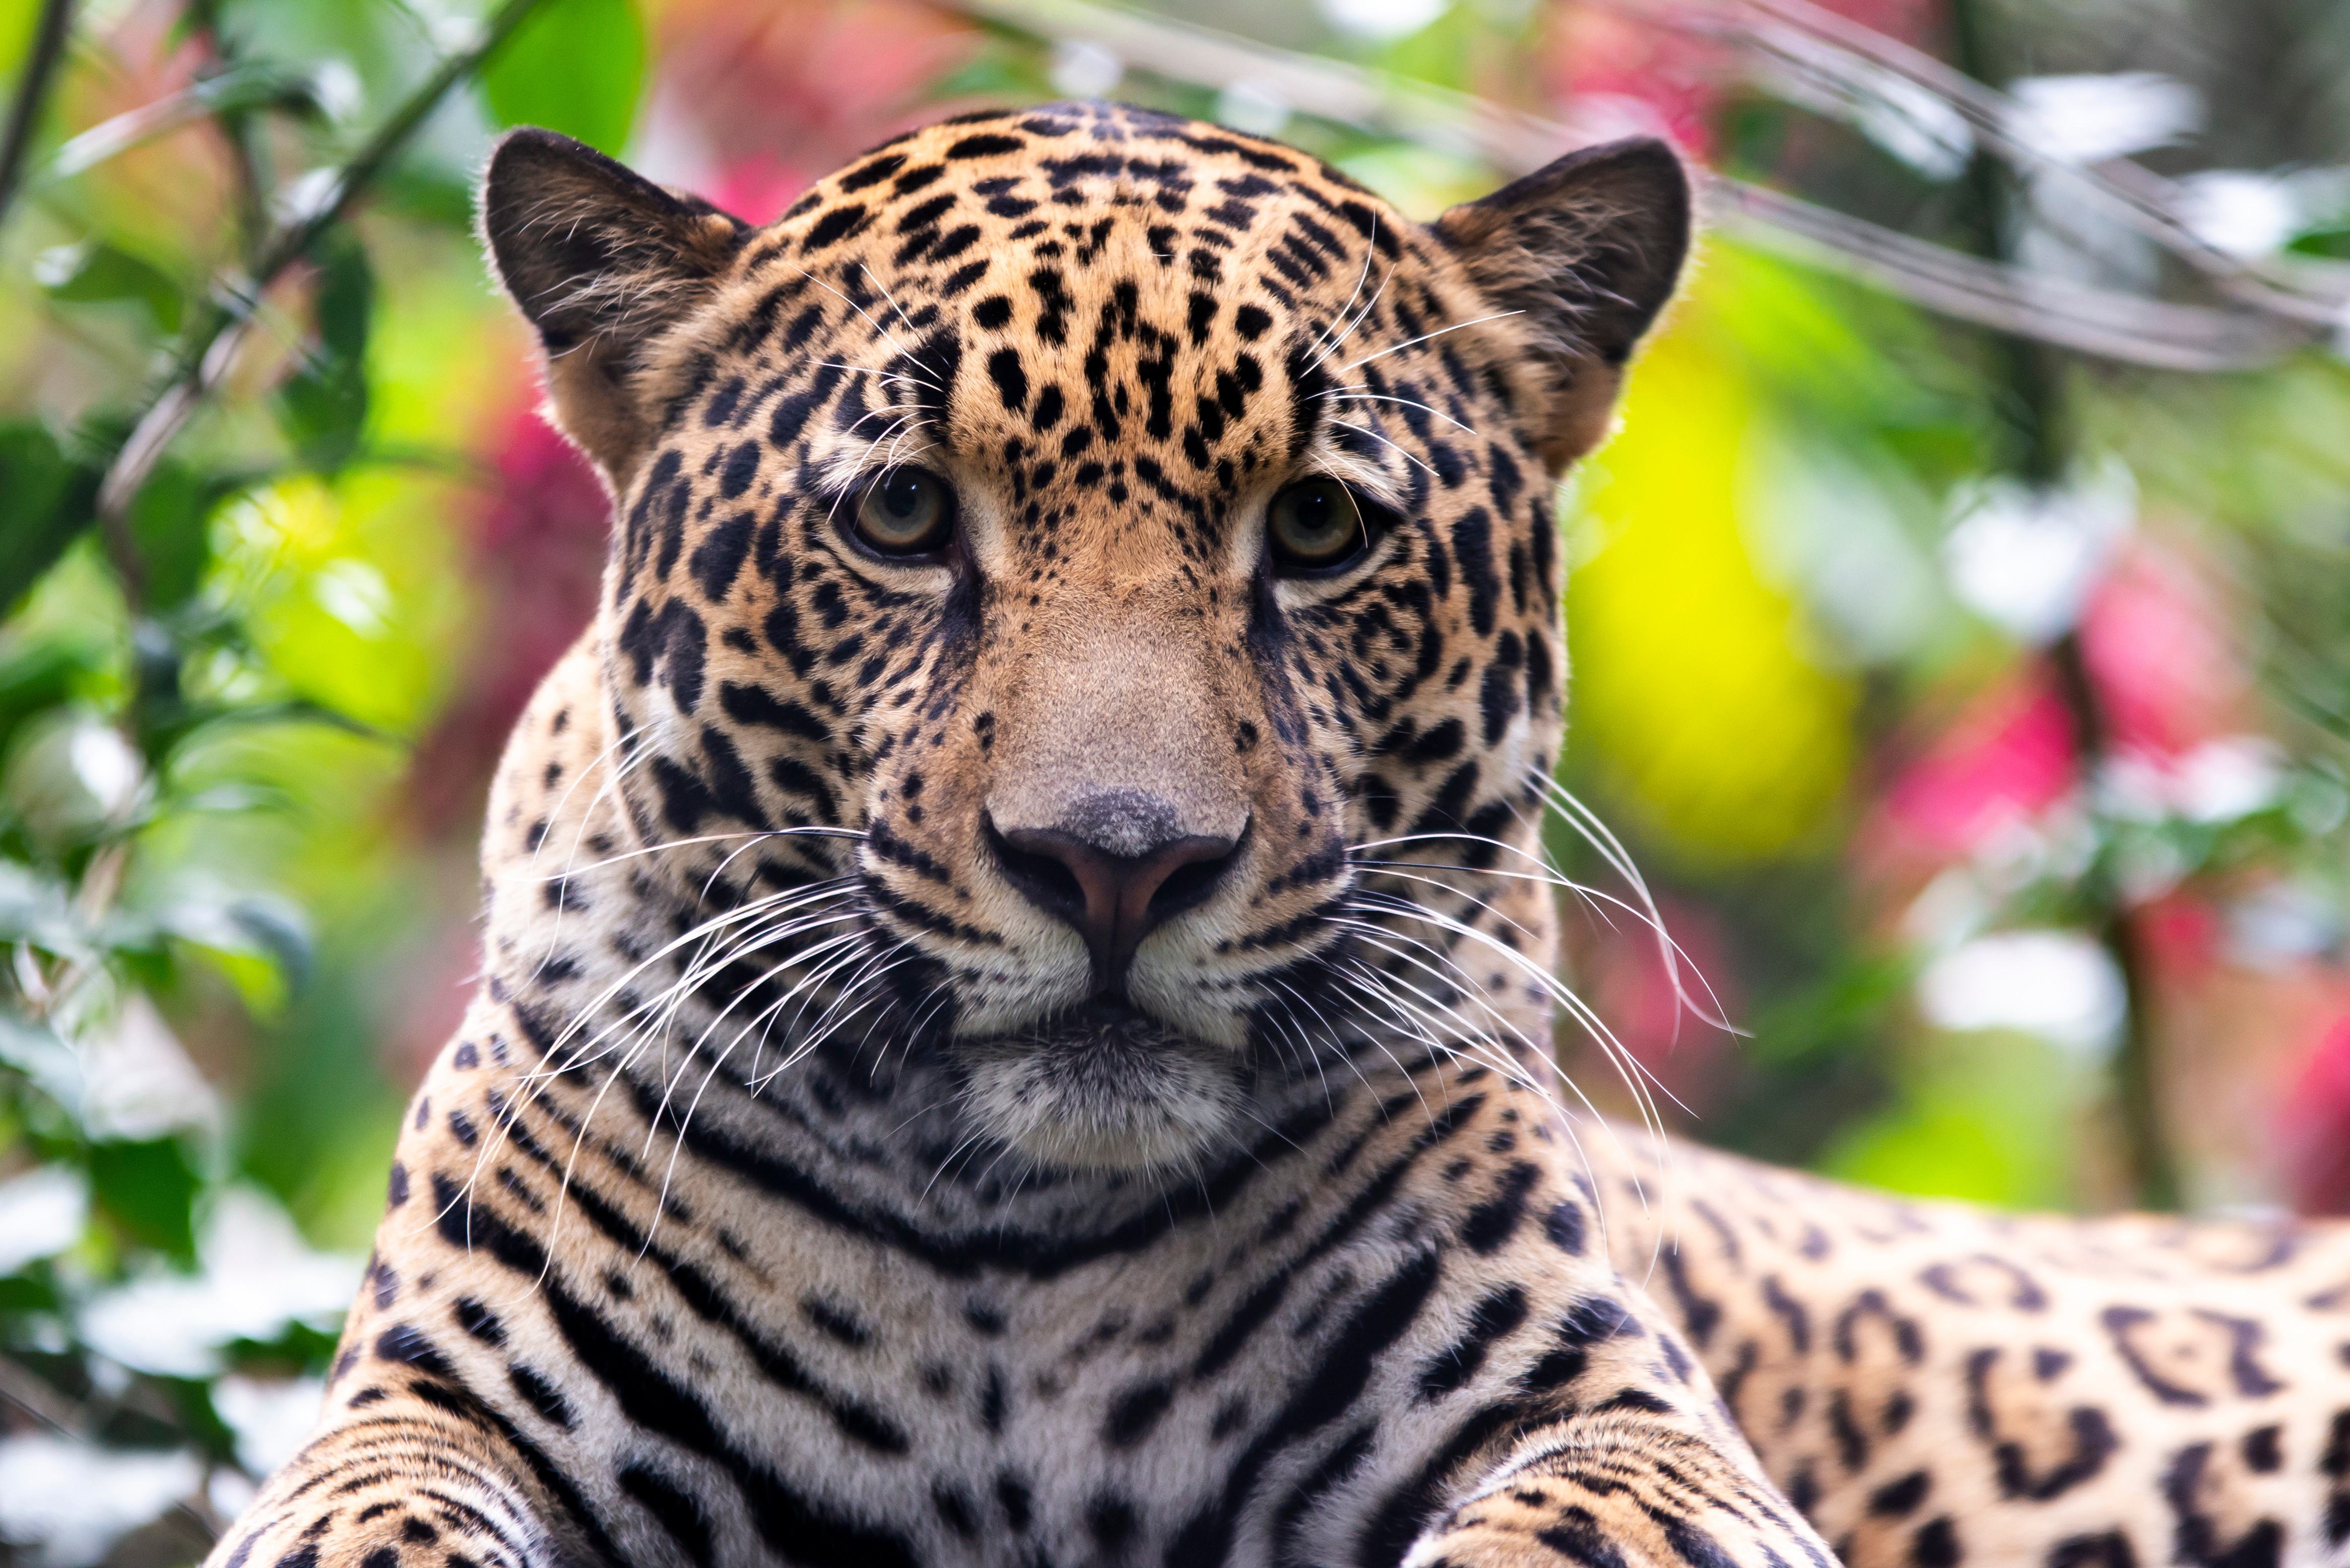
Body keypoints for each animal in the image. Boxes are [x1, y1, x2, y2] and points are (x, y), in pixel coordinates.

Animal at [205, 100, 2350, 1568]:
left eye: (1317, 528)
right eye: (901, 515)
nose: (1116, 859)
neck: (1006, 1247)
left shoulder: (1613, 1419)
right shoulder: (433, 1405)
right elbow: (369, 1527)